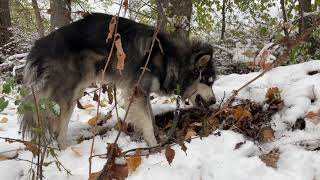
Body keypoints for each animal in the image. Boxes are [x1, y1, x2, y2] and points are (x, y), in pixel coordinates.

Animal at [20, 13, 216, 149]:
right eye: (208, 81)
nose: (214, 101)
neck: (169, 58)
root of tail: (39, 45)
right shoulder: (137, 91)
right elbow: (147, 121)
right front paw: (154, 145)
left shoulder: (141, 92)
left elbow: (150, 117)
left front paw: (157, 134)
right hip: (68, 96)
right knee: (59, 127)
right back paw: (65, 150)